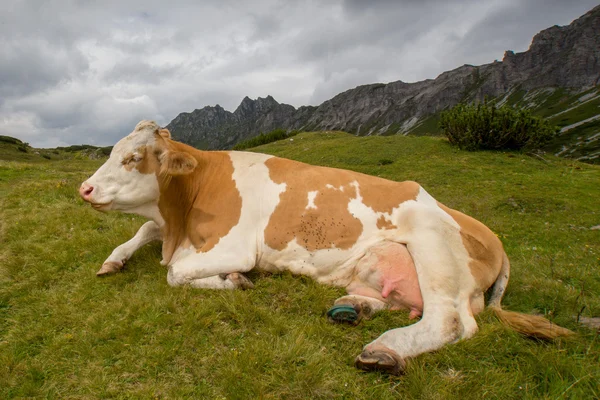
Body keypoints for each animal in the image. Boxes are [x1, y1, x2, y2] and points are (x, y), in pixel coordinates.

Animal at [78, 119, 572, 376]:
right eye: (113, 152)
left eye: (132, 158)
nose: (84, 188)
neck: (184, 211)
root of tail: (492, 236)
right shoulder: (168, 228)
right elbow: (144, 232)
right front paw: (113, 259)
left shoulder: (236, 246)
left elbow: (175, 271)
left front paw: (233, 281)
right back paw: (356, 309)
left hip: (435, 246)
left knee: (451, 321)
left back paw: (383, 349)